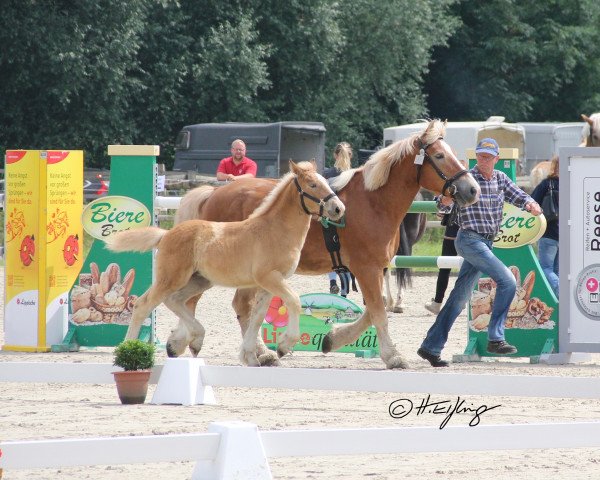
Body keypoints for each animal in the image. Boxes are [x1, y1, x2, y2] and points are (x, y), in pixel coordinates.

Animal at [106, 161, 342, 368]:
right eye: (312, 184)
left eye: (326, 182)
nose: (338, 208)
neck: (274, 230)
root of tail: (165, 235)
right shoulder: (270, 277)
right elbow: (294, 301)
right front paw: (283, 346)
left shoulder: (268, 284)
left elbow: (257, 317)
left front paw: (252, 356)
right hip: (171, 279)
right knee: (143, 305)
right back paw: (127, 352)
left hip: (199, 280)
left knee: (175, 300)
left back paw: (195, 339)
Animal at [176, 120, 480, 368]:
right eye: (439, 156)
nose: (473, 189)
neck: (373, 202)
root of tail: (213, 193)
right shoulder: (366, 269)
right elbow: (378, 313)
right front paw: (392, 356)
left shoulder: (375, 269)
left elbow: (372, 311)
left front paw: (333, 338)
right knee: (204, 301)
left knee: (232, 305)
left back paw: (254, 352)